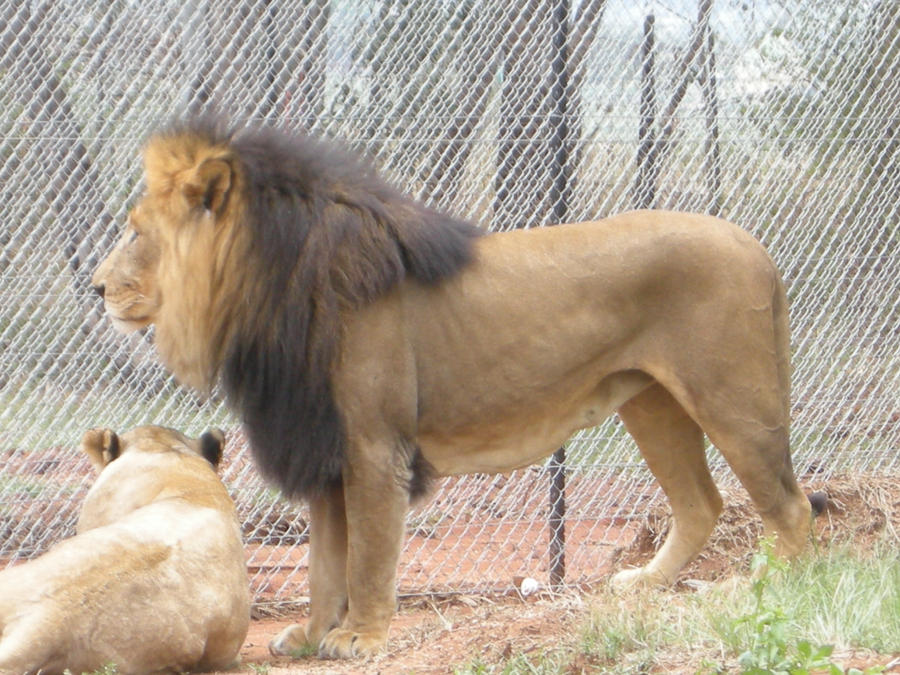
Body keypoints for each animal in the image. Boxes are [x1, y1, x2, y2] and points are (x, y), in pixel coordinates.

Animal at [92, 118, 813, 660]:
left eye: (137, 230)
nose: (96, 287)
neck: (269, 296)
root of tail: (756, 245)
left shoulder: (373, 444)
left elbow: (367, 552)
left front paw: (360, 637)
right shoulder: (323, 444)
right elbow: (325, 560)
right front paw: (310, 635)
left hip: (734, 400)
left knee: (790, 504)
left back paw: (764, 590)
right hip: (652, 404)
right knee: (701, 504)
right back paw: (645, 584)